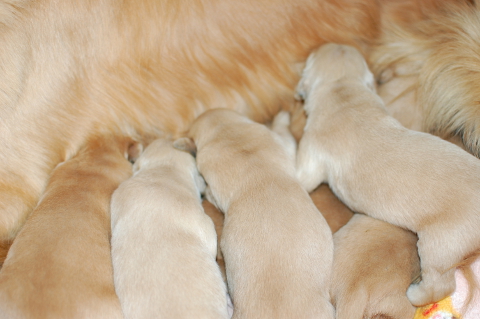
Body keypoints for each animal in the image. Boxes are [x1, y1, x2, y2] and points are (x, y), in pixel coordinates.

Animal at [294, 42, 480, 308]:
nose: (337, 43)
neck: (342, 91)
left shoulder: (311, 153)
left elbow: (301, 175)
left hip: (442, 244)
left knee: (441, 285)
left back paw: (415, 293)